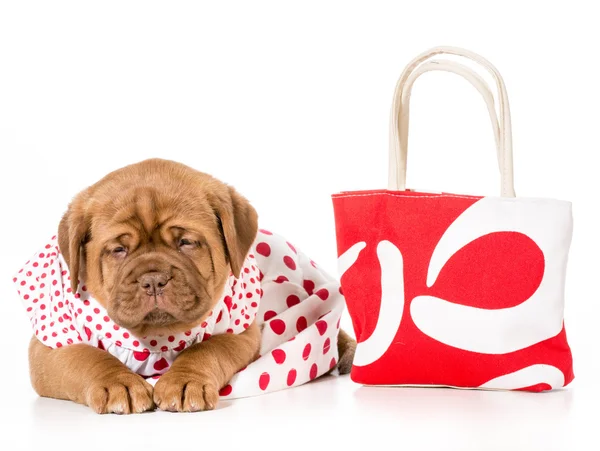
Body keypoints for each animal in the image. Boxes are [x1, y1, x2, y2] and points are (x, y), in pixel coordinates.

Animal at [28, 158, 354, 414]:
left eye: (186, 242)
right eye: (118, 250)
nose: (153, 280)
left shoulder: (239, 332)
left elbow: (207, 349)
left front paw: (184, 381)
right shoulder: (47, 348)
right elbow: (86, 357)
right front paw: (117, 382)